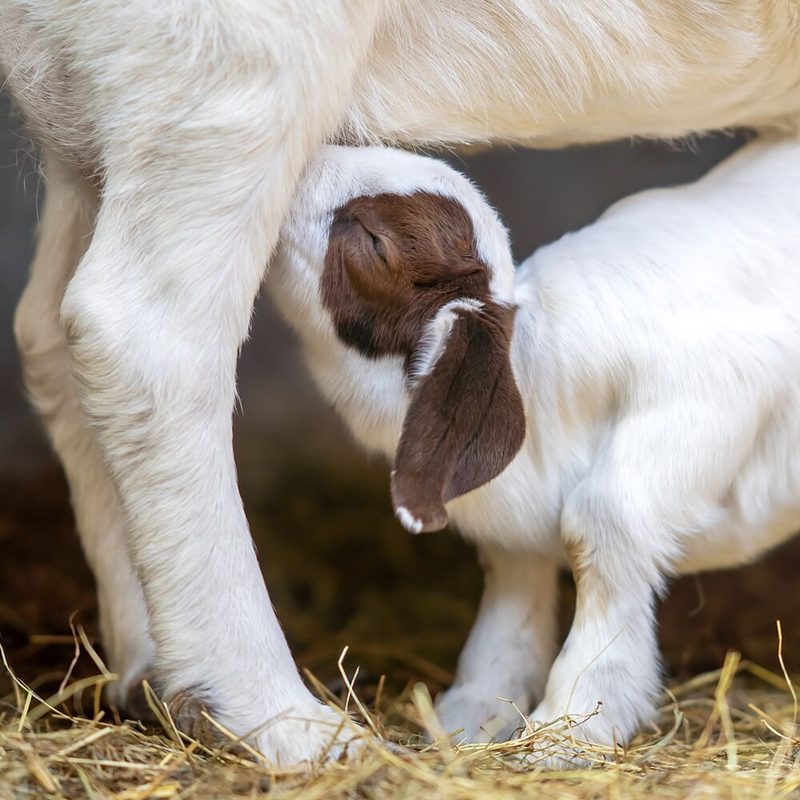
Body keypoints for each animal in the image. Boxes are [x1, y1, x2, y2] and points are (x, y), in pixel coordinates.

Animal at [269, 137, 800, 759]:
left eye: (376, 243)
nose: (296, 165)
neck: (537, 373)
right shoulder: (511, 523)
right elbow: (513, 569)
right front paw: (475, 707)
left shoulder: (712, 390)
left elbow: (600, 518)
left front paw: (571, 721)